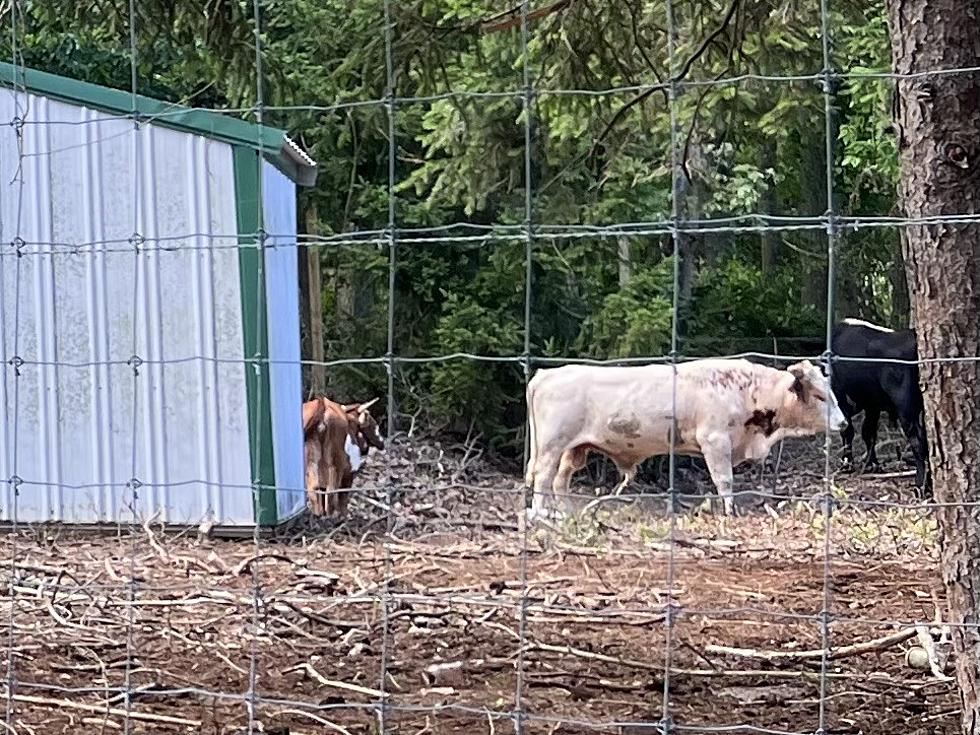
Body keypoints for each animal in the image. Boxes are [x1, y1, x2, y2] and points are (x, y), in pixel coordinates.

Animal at [520, 358, 848, 516]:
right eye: (819, 395)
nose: (843, 423)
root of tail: (546, 374)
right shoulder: (715, 441)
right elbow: (724, 482)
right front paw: (730, 512)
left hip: (574, 449)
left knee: (561, 480)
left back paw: (564, 511)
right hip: (551, 446)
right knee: (543, 478)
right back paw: (542, 512)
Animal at [832, 318, 932, 494]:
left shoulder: (840, 393)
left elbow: (848, 429)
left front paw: (847, 464)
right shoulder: (873, 403)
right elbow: (868, 432)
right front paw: (872, 464)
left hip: (906, 406)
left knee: (917, 440)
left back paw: (920, 485)